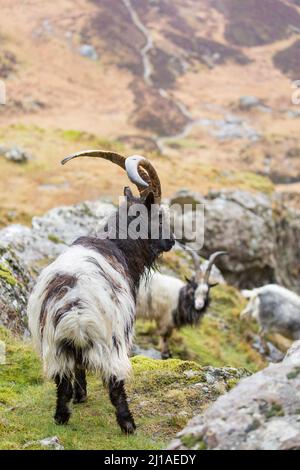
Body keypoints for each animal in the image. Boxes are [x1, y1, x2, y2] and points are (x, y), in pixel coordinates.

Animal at [27, 150, 176, 434]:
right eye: (160, 216)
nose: (171, 241)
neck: (116, 244)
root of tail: (75, 311)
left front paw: (81, 397)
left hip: (56, 348)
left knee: (63, 383)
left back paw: (62, 417)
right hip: (111, 343)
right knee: (115, 383)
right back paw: (128, 425)